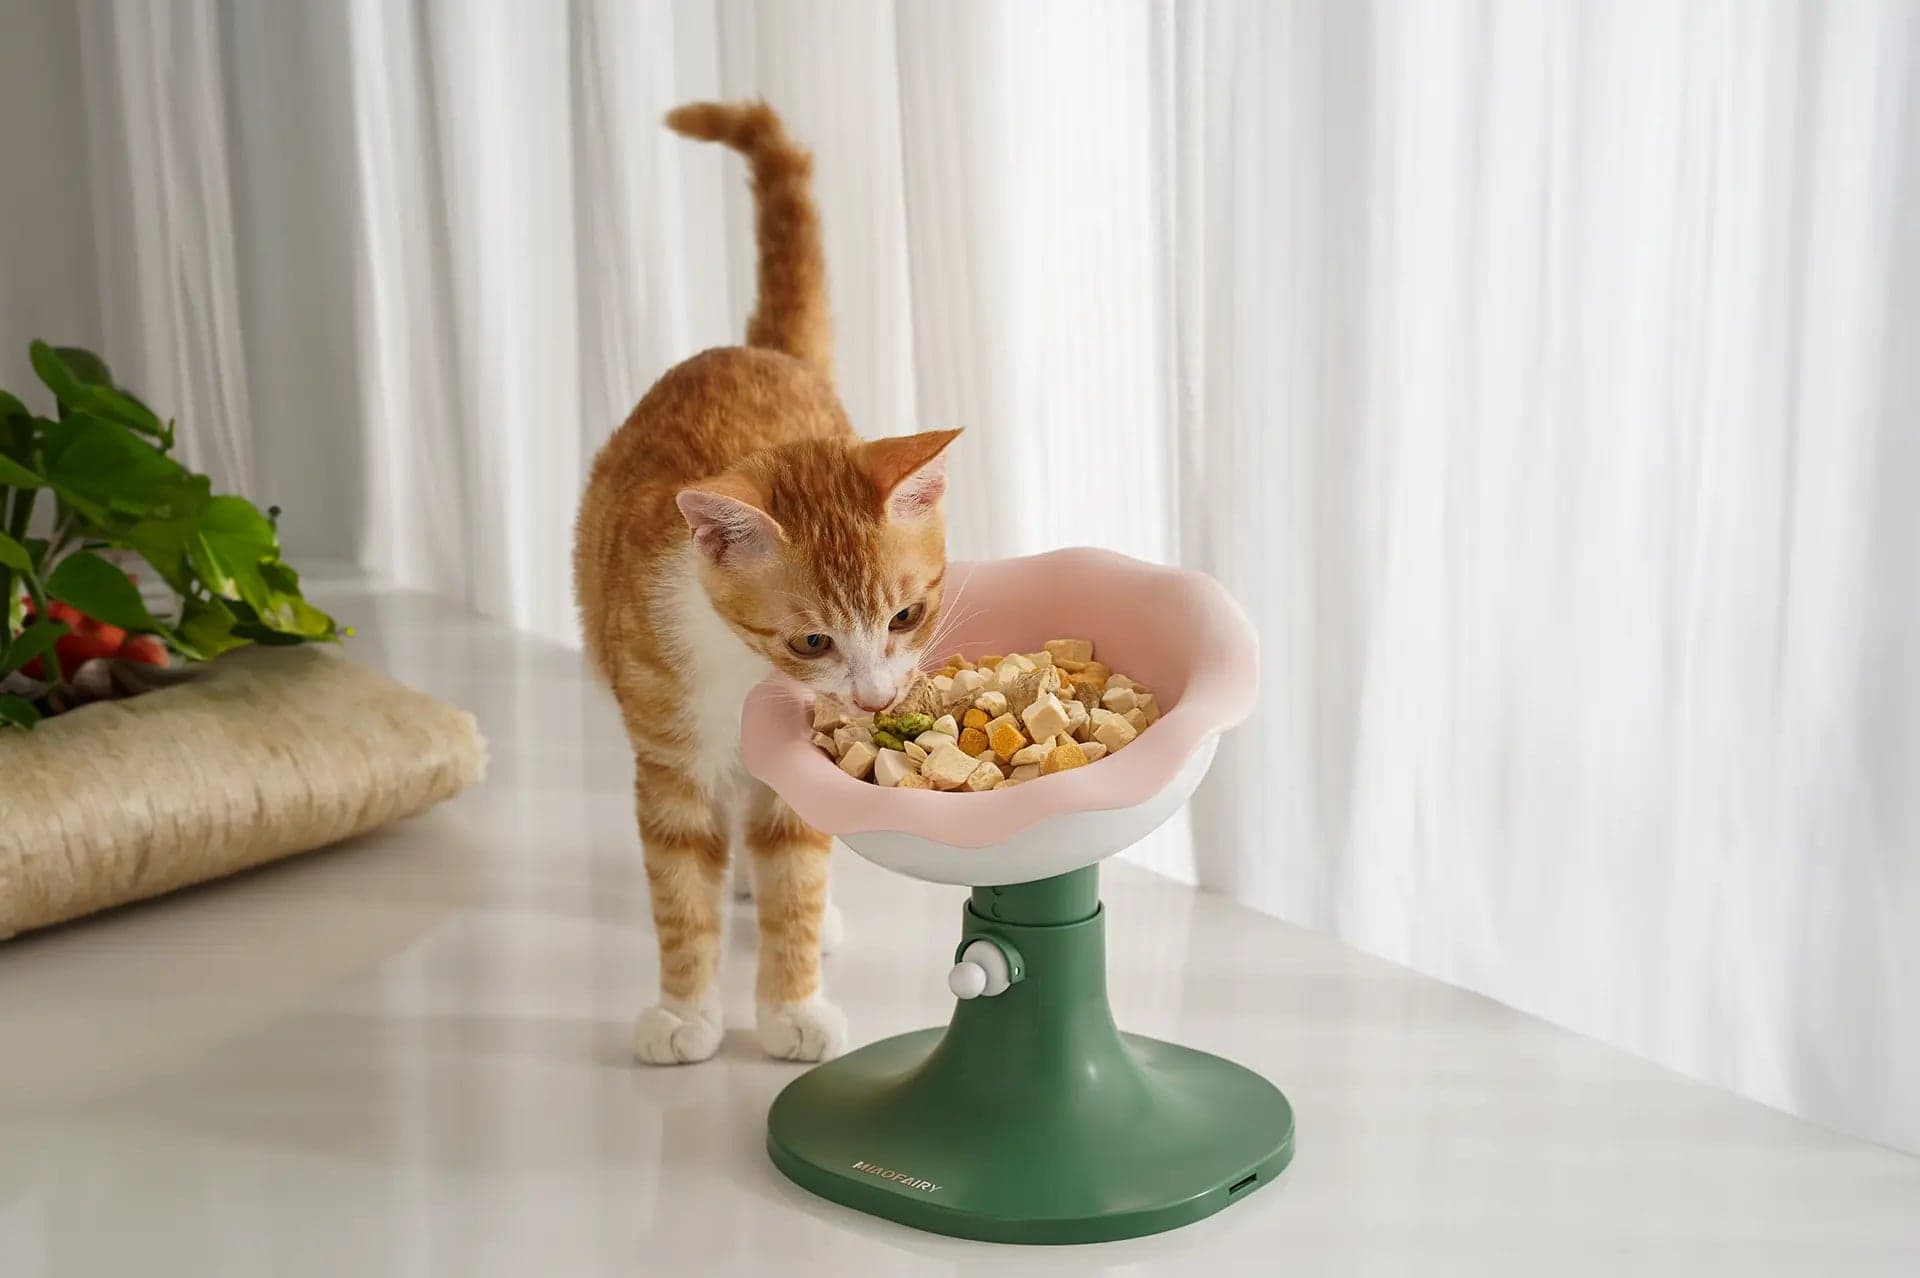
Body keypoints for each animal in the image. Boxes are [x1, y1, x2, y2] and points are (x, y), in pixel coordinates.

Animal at [568, 99, 960, 1059]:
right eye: (811, 639)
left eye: (905, 617)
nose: (872, 698)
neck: (750, 677)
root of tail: (760, 352)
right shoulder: (668, 759)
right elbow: (680, 891)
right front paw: (686, 1010)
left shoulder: (806, 763)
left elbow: (797, 869)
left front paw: (791, 1002)